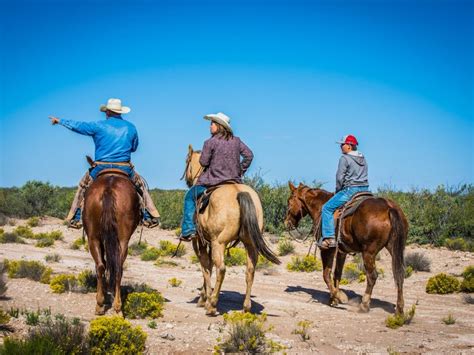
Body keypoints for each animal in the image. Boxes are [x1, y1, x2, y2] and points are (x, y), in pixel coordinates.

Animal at [82, 168, 139, 316]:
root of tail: (109, 188)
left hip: (97, 237)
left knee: (105, 266)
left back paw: (105, 305)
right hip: (117, 239)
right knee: (112, 267)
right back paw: (114, 307)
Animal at [183, 145, 280, 318]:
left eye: (186, 162)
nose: (188, 180)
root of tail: (239, 192)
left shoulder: (199, 241)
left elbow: (205, 267)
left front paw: (204, 299)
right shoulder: (208, 242)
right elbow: (208, 267)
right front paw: (205, 297)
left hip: (219, 242)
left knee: (221, 269)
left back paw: (212, 306)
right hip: (250, 244)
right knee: (250, 270)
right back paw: (246, 307)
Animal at [284, 184, 406, 314]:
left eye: (289, 201)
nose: (286, 222)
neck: (320, 206)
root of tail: (389, 208)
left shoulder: (327, 249)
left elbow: (326, 274)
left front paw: (339, 297)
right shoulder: (341, 251)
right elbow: (337, 274)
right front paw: (333, 298)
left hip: (369, 252)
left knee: (372, 276)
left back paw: (364, 305)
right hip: (395, 249)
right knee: (399, 275)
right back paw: (399, 309)